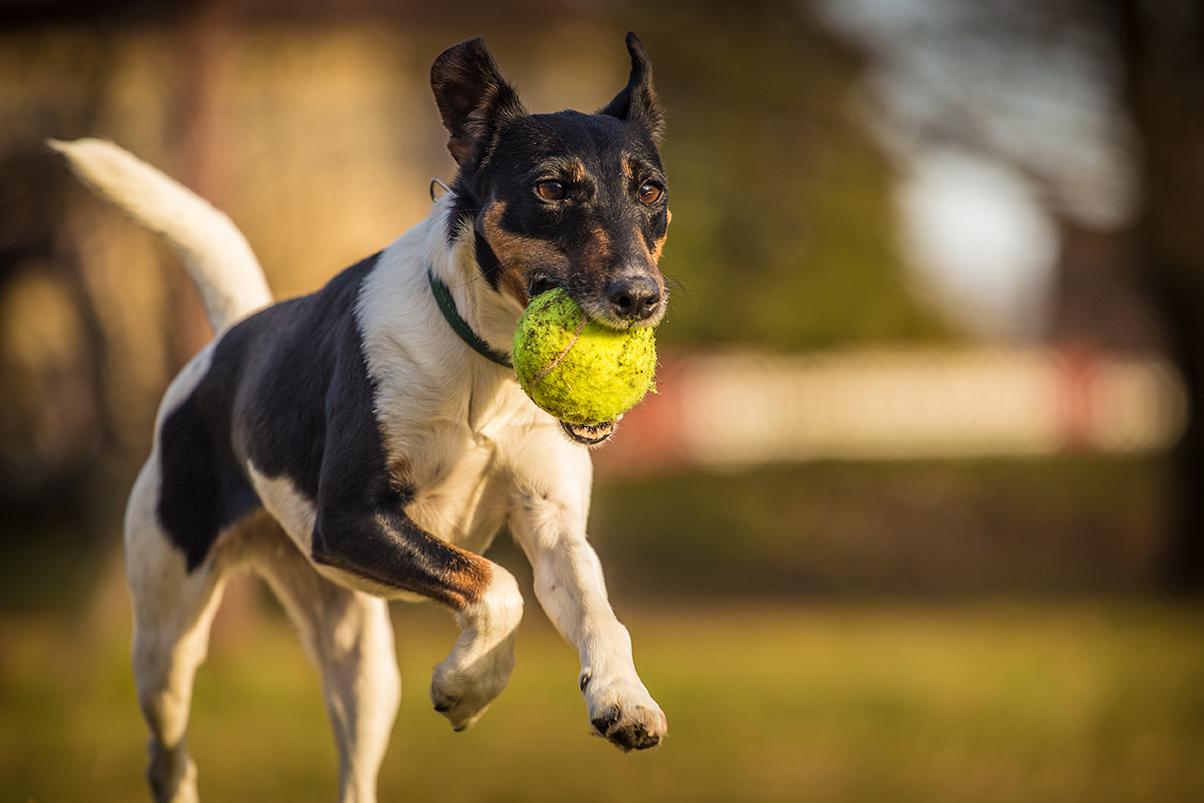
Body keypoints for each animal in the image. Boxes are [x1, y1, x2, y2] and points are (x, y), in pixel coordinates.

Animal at [51, 31, 674, 803]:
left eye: (651, 191)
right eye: (552, 188)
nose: (640, 297)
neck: (486, 363)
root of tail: (234, 335)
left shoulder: (554, 525)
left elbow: (598, 612)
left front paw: (624, 699)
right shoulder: (352, 517)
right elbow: (496, 586)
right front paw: (468, 683)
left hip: (361, 663)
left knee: (353, 766)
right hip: (166, 637)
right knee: (167, 755)